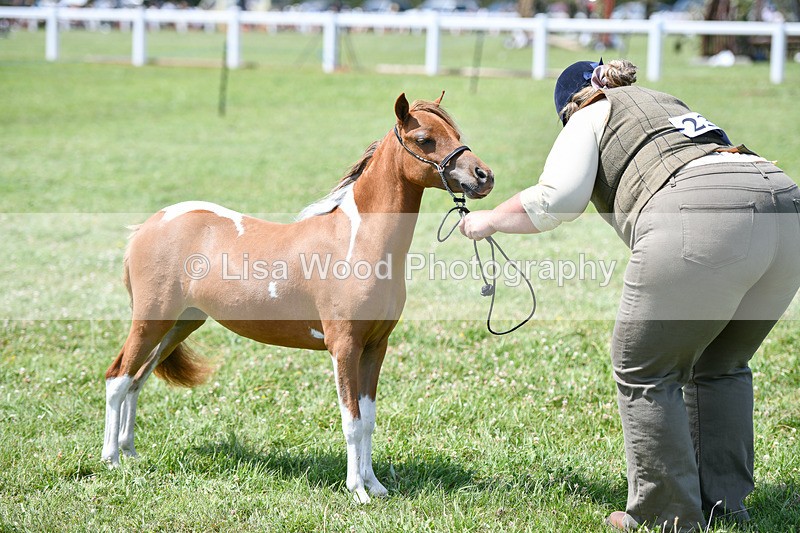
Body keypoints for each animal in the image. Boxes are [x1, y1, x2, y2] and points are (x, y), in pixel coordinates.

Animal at [102, 92, 494, 503]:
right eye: (424, 139)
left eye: (456, 134)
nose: (484, 176)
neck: (358, 243)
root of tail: (150, 224)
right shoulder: (345, 347)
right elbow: (352, 421)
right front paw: (358, 491)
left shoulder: (375, 346)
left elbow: (369, 420)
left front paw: (376, 485)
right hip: (151, 321)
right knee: (117, 379)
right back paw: (112, 460)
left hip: (179, 325)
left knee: (138, 379)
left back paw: (130, 451)